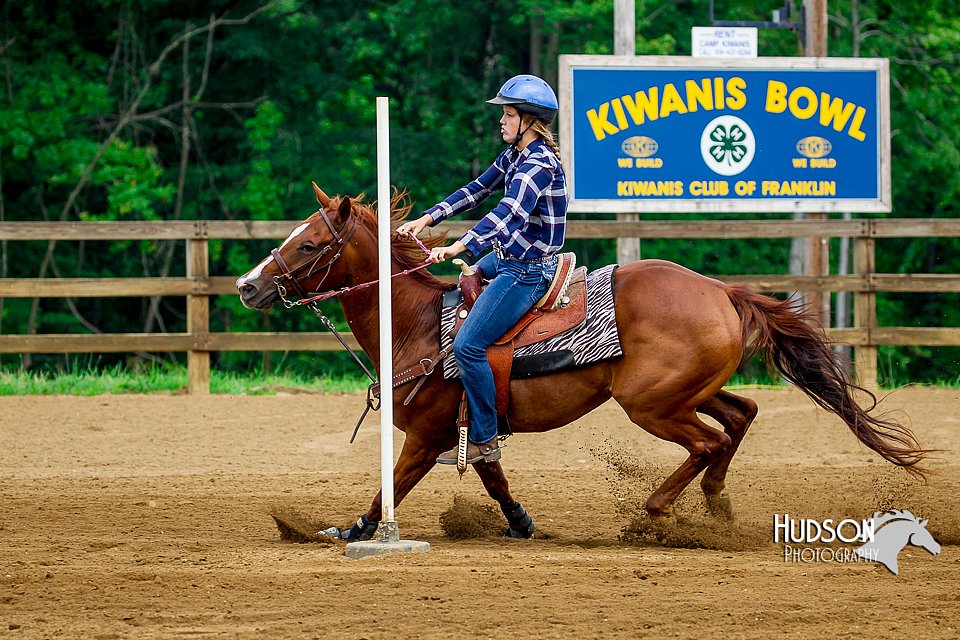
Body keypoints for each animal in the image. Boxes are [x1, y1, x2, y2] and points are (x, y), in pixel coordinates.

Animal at [236, 184, 928, 540]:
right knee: (741, 416)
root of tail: (719, 291)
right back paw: (716, 507)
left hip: (651, 403)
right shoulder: (471, 427)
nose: (248, 285)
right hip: (689, 391)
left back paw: (657, 514)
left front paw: (351, 531)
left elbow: (392, 486)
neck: (417, 322)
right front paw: (519, 523)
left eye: (311, 243)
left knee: (708, 441)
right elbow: (494, 476)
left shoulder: (428, 435)